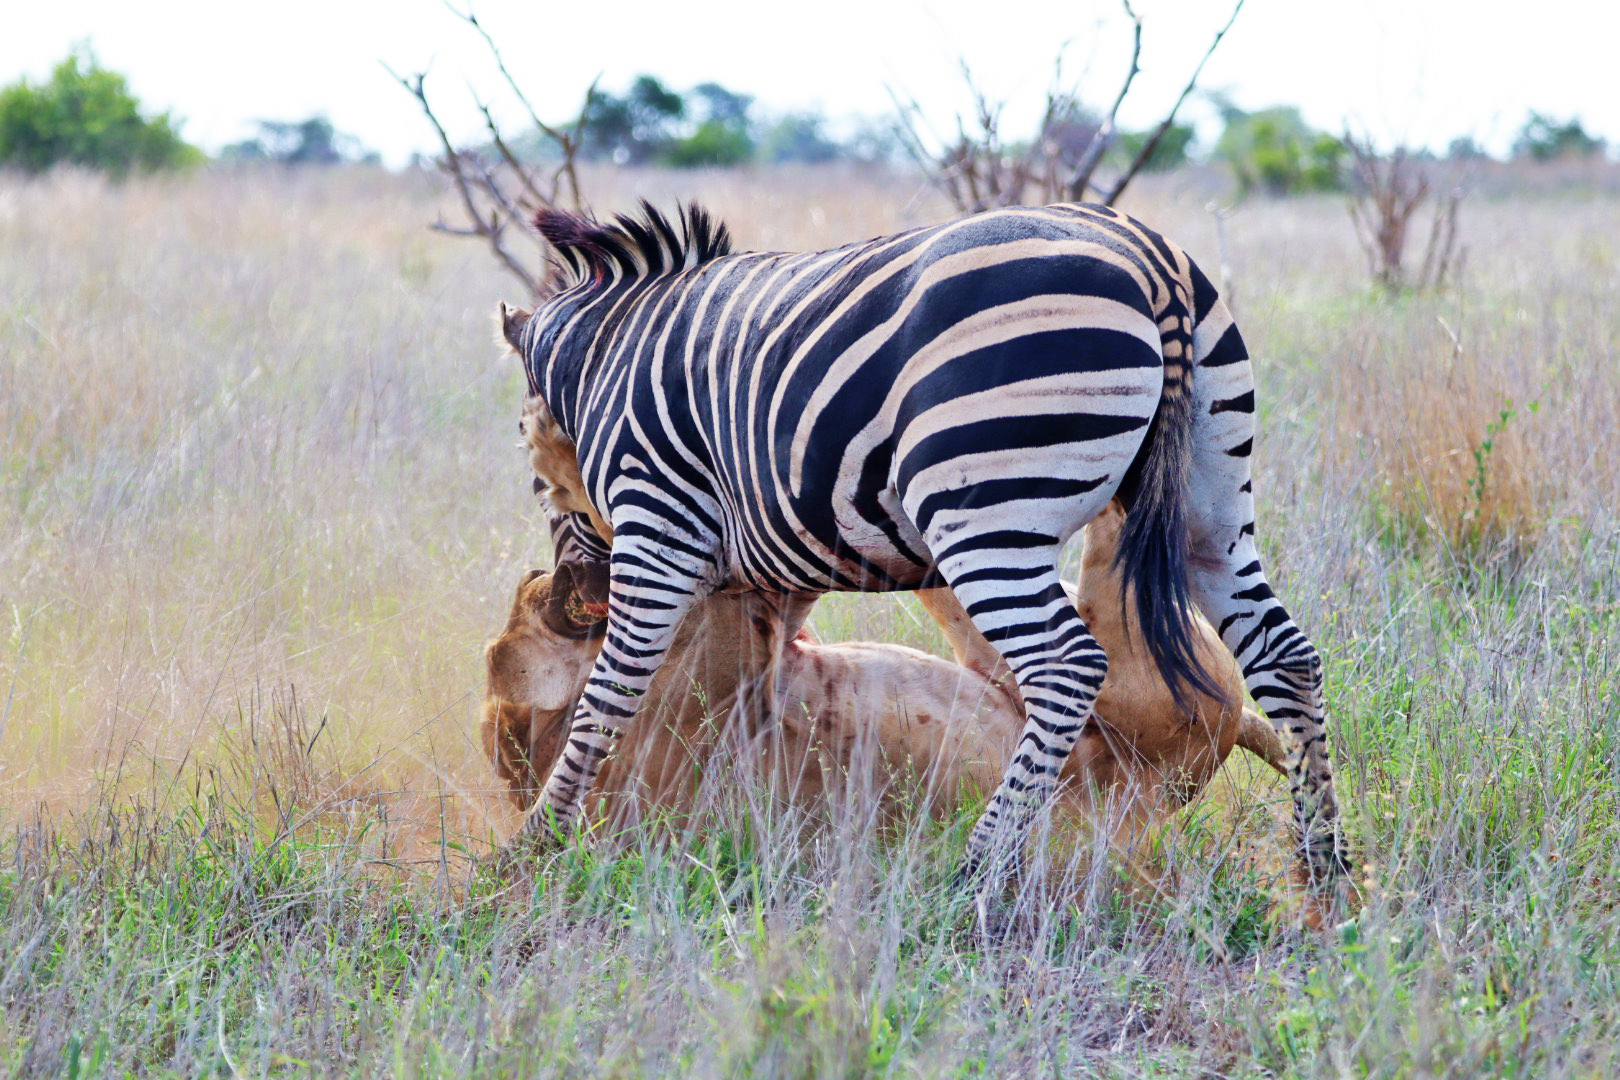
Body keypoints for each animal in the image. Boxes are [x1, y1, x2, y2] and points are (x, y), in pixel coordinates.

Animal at [498, 200, 1347, 887]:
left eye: (532, 468)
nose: (570, 593)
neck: (603, 357)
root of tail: (1150, 256)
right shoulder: (765, 554)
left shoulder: (659, 523)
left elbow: (610, 691)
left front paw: (535, 845)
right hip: (1211, 496)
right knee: (1285, 655)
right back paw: (1325, 871)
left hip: (983, 504)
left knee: (1066, 666)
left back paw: (976, 872)